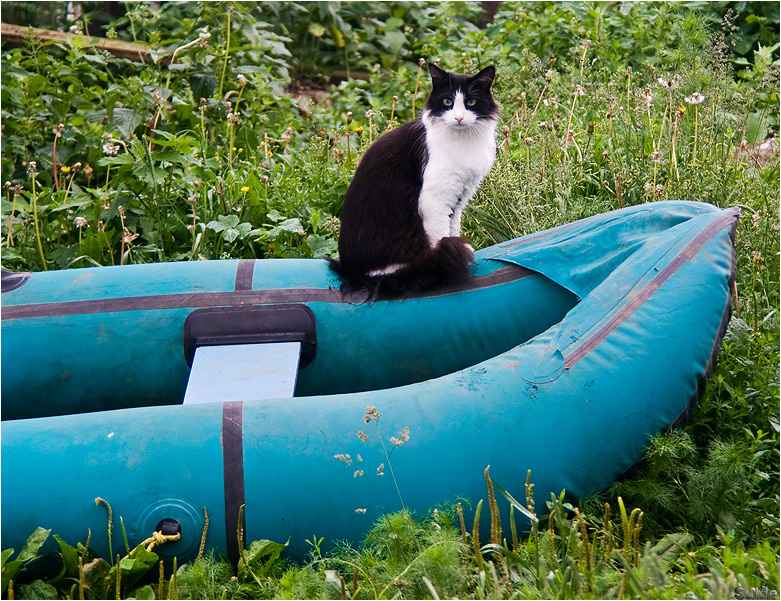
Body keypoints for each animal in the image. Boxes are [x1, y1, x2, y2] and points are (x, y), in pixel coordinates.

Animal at [330, 63, 500, 298]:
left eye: (471, 102)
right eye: (447, 102)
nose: (458, 118)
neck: (462, 140)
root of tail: (350, 272)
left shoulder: (459, 197)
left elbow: (453, 227)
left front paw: (463, 248)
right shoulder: (434, 200)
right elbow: (440, 236)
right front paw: (441, 262)